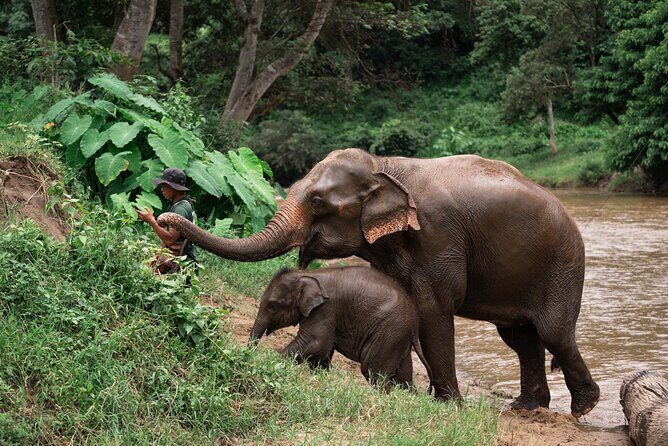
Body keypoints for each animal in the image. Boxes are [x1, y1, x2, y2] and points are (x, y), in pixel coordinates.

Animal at [249, 266, 432, 391]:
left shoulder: (324, 310)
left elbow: (316, 343)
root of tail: (414, 322)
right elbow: (322, 354)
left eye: (273, 306)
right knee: (403, 378)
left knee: (373, 371)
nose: (251, 354)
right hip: (398, 338)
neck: (309, 274)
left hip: (389, 333)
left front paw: (272, 360)